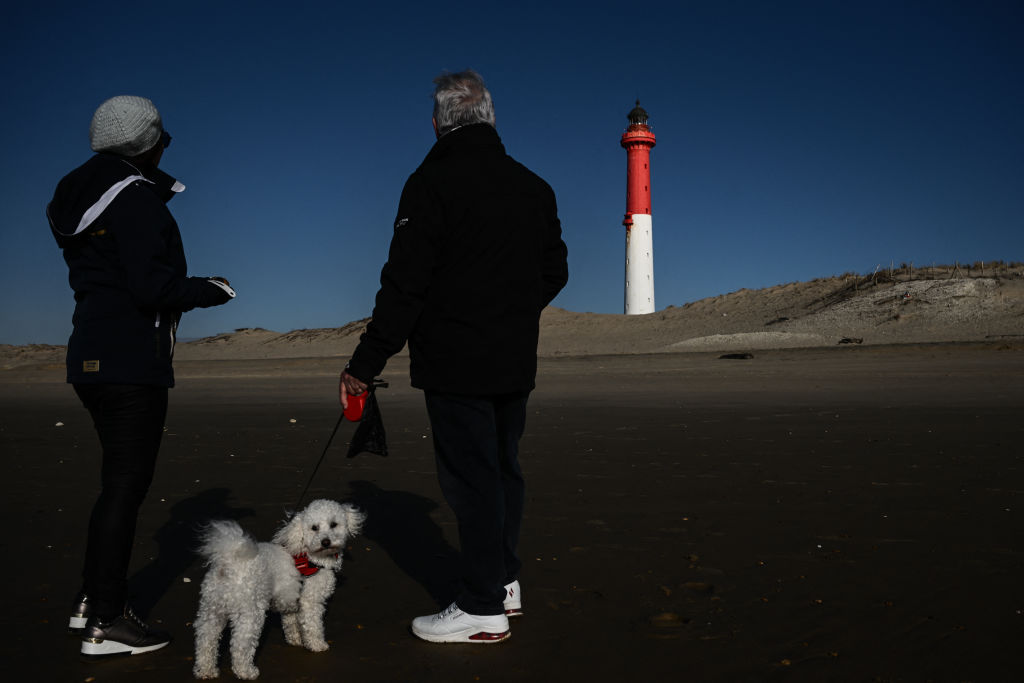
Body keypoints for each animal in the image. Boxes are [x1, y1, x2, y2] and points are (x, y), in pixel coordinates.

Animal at [193, 499, 366, 679]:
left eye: (333, 524)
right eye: (314, 528)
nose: (325, 542)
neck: (310, 556)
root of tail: (229, 562)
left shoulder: (291, 600)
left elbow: (291, 622)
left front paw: (296, 639)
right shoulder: (310, 602)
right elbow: (313, 625)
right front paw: (317, 644)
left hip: (212, 611)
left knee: (205, 640)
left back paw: (206, 670)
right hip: (250, 613)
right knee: (240, 645)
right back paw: (246, 671)